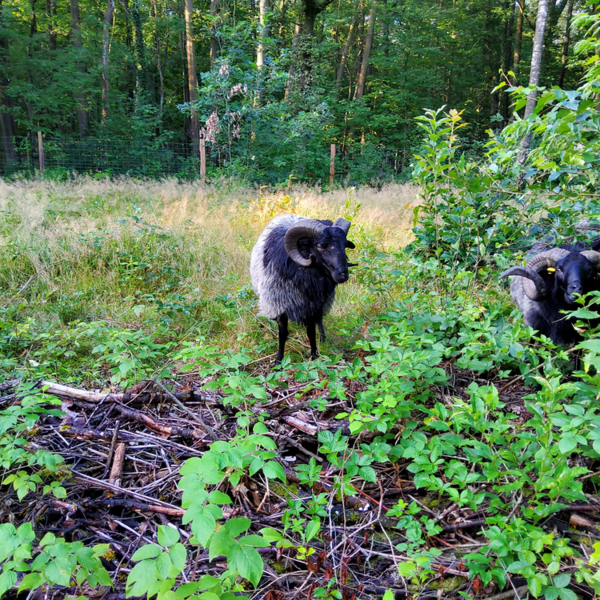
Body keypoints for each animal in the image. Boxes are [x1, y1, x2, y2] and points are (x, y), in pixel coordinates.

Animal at [250, 216, 356, 366]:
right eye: (320, 245)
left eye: (345, 244)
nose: (343, 274)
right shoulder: (279, 304)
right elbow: (283, 333)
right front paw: (278, 361)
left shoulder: (312, 306)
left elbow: (311, 331)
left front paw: (314, 356)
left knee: (319, 320)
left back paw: (323, 339)